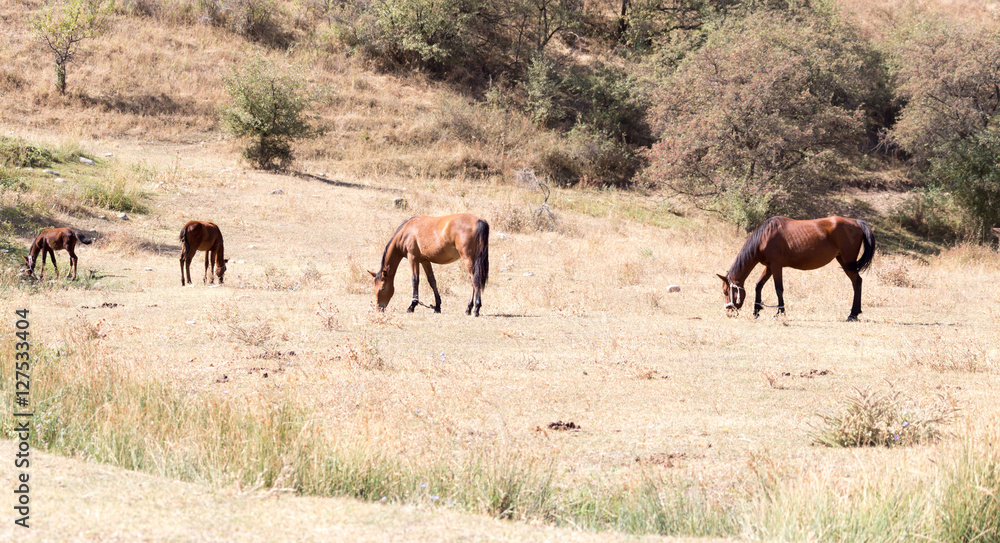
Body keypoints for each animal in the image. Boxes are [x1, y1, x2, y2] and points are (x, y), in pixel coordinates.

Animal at [720, 215, 876, 320]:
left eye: (726, 291)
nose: (728, 313)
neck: (764, 237)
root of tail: (856, 222)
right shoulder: (769, 267)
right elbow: (759, 285)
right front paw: (756, 311)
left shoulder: (776, 266)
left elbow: (779, 289)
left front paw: (780, 313)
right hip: (843, 261)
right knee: (857, 282)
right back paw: (855, 313)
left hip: (847, 262)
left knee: (857, 282)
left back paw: (852, 314)